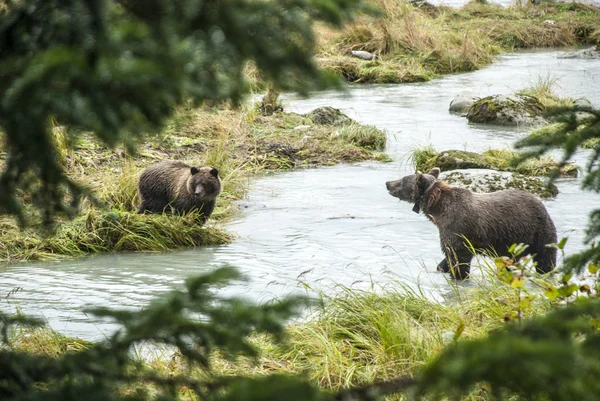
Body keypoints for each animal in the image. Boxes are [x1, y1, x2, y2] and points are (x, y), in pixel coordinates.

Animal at [384, 166, 556, 278]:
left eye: (402, 180)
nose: (387, 183)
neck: (439, 210)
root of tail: (541, 204)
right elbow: (448, 258)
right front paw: (441, 268)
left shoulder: (458, 228)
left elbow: (458, 259)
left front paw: (458, 275)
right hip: (515, 242)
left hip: (537, 231)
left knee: (545, 258)